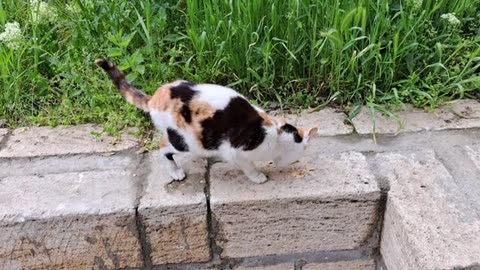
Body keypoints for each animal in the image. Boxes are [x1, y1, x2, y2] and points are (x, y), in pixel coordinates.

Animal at [95, 58, 316, 184]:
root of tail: (155, 98)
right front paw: (257, 176)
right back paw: (175, 171)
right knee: (163, 147)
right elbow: (248, 166)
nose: (286, 163)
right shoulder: (235, 152)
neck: (276, 134)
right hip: (186, 141)